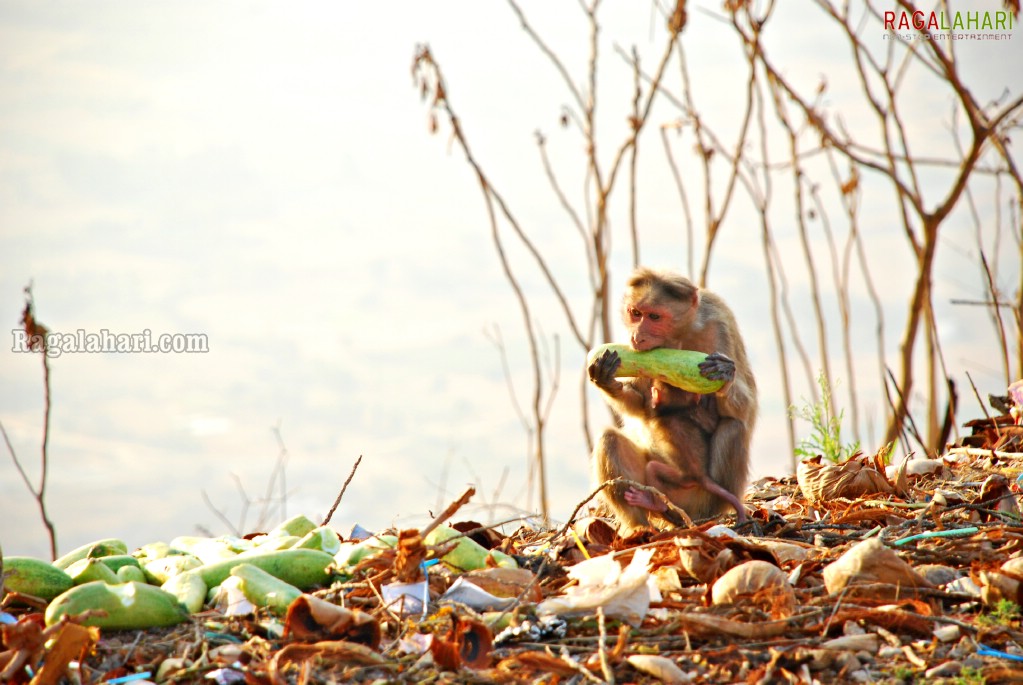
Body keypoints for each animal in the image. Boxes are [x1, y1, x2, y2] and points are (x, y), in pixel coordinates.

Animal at [589, 265, 757, 535]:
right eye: (636, 313)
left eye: (654, 317)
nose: (637, 336)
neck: (679, 336)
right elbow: (641, 405)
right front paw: (606, 378)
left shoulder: (720, 327)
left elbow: (744, 410)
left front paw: (723, 375)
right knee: (610, 441)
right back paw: (641, 524)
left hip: (697, 498)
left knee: (734, 426)